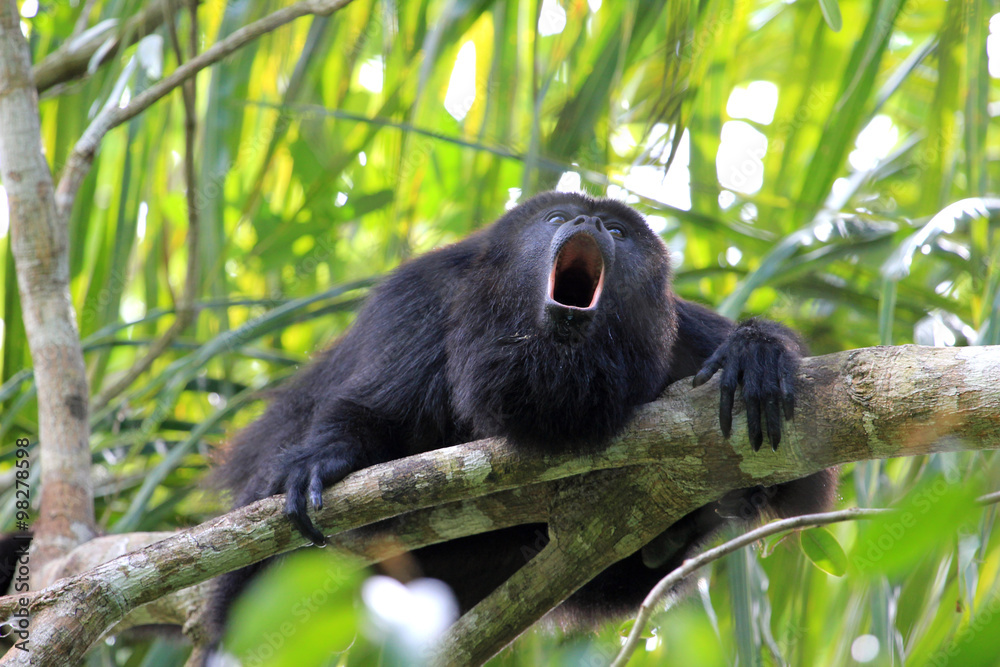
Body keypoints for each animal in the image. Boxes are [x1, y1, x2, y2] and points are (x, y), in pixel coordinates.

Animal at [206, 190, 835, 637]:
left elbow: (805, 478)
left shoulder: (680, 335)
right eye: (558, 218)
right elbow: (371, 411)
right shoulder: (419, 299)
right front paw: (326, 458)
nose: (587, 226)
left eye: (616, 231)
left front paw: (756, 353)